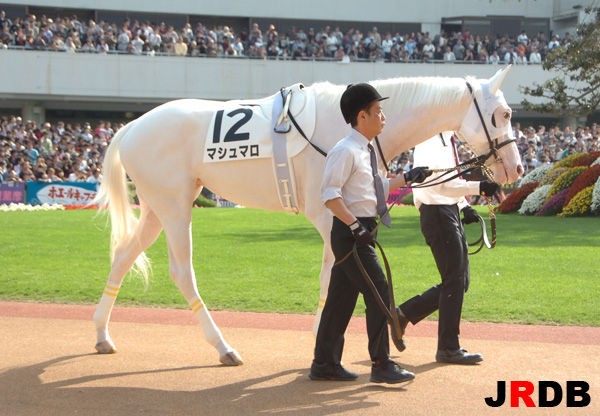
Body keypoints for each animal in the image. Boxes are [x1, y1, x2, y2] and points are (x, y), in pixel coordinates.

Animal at [91, 65, 524, 364]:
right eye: (503, 114)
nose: (516, 168)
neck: (349, 129)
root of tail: (131, 126)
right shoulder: (333, 216)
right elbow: (333, 280)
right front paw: (325, 344)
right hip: (175, 205)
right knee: (182, 272)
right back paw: (223, 347)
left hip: (156, 207)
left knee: (123, 255)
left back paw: (101, 334)